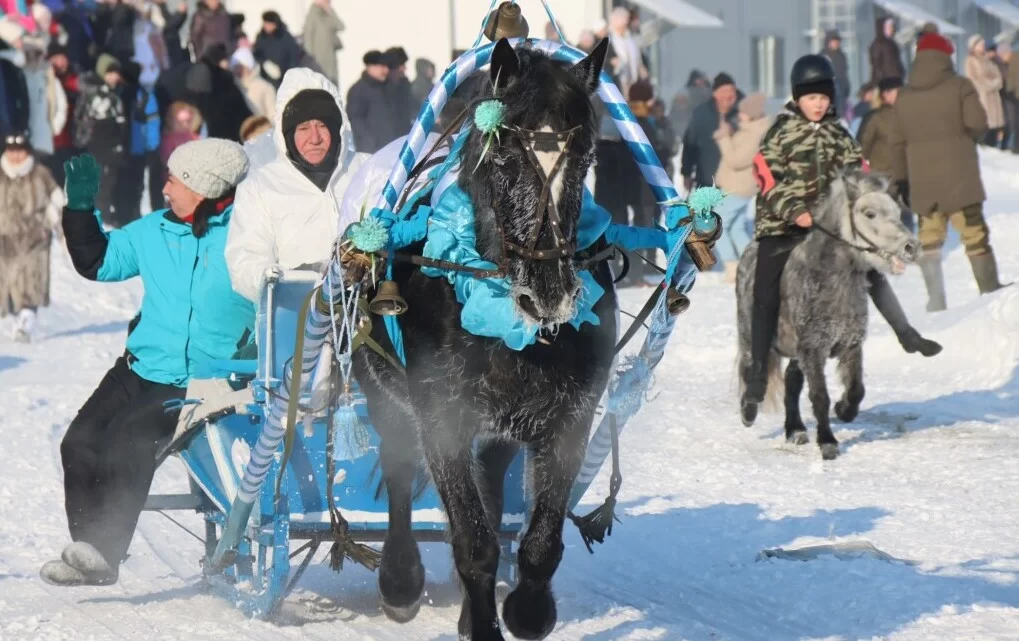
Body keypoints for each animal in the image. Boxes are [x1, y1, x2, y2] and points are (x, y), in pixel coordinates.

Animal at [354, 37, 611, 635]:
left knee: (490, 484)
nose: (549, 292)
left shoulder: (570, 414)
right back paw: (400, 579)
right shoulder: (439, 413)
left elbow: (538, 543)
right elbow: (472, 542)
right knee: (399, 469)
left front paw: (526, 609)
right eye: (503, 153)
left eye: (587, 156)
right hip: (382, 392)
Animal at [737, 170, 921, 460]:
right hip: (750, 333)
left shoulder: (850, 344)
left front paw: (844, 410)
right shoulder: (813, 349)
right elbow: (819, 396)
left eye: (896, 211)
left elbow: (856, 389)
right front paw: (827, 442)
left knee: (791, 382)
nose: (911, 247)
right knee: (750, 367)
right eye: (869, 213)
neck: (829, 278)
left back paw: (795, 430)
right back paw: (749, 408)